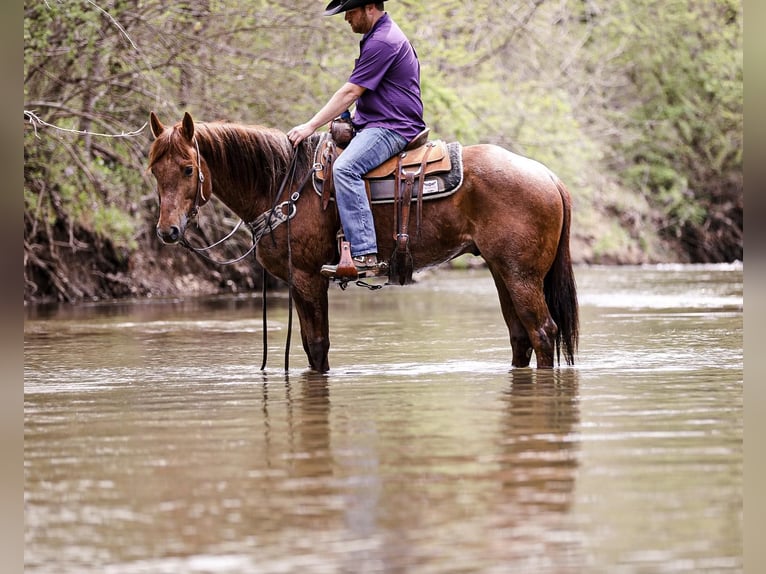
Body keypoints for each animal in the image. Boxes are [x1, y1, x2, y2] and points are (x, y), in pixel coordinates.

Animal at [147, 112, 580, 374]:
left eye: (188, 169)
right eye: (153, 170)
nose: (168, 231)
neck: (285, 185)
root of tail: (548, 176)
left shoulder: (307, 277)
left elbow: (317, 345)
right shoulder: (299, 281)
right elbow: (310, 346)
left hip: (522, 274)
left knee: (543, 331)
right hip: (500, 270)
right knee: (520, 336)